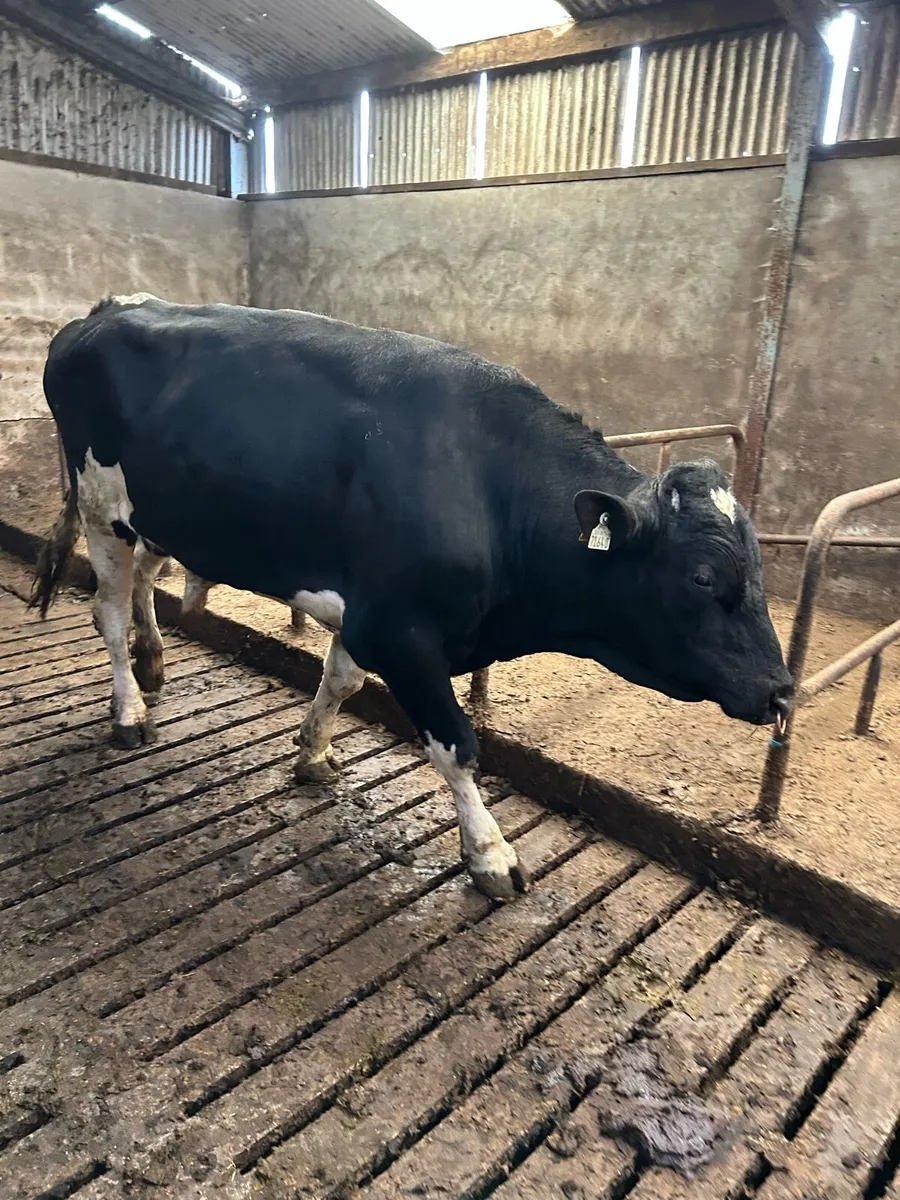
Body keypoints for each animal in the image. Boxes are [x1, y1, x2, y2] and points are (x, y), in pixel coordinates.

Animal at [32, 295, 792, 901]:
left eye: (758, 565)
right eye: (702, 576)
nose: (782, 690)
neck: (488, 485)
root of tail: (107, 309)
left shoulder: (372, 618)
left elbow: (338, 682)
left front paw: (312, 754)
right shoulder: (401, 632)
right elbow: (457, 746)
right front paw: (490, 854)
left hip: (159, 515)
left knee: (143, 581)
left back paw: (154, 663)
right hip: (100, 507)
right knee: (106, 607)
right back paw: (129, 708)